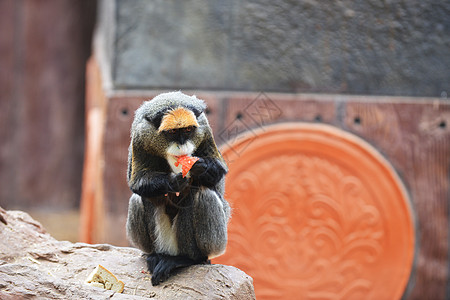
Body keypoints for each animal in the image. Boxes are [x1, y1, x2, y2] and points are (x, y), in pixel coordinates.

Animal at [126, 91, 232, 286]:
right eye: (173, 132)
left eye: (188, 130)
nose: (182, 144)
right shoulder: (140, 134)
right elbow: (138, 182)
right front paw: (174, 182)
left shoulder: (204, 126)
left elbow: (218, 170)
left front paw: (201, 167)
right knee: (141, 198)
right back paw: (156, 256)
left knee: (204, 195)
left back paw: (187, 259)